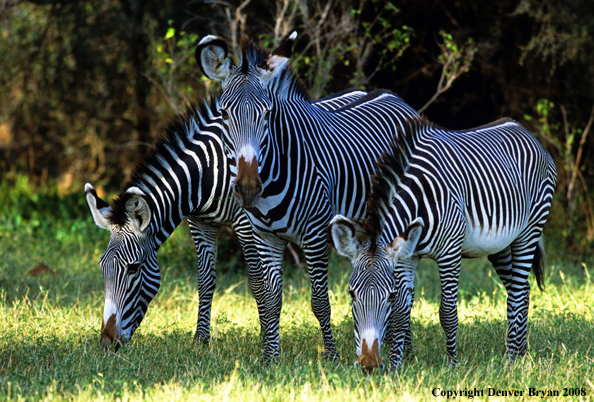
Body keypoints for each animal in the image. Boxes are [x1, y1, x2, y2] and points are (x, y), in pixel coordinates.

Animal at [85, 92, 368, 354]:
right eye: (102, 266)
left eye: (133, 268)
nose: (107, 344)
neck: (205, 173)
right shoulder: (200, 223)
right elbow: (205, 281)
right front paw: (200, 340)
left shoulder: (245, 224)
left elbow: (257, 284)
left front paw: (265, 336)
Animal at [194, 33, 416, 362]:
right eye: (224, 113)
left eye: (267, 113)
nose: (248, 186)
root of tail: (393, 96)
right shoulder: (266, 237)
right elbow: (271, 299)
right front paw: (271, 357)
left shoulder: (315, 236)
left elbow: (320, 301)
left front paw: (332, 356)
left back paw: (406, 350)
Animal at [328, 114, 556, 372]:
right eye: (351, 294)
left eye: (389, 296)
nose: (369, 364)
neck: (418, 199)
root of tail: (523, 129)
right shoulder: (406, 256)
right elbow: (402, 314)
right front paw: (396, 367)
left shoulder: (449, 253)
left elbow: (447, 313)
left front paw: (452, 364)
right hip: (502, 245)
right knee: (523, 289)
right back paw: (522, 353)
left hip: (529, 231)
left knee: (517, 293)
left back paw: (510, 359)